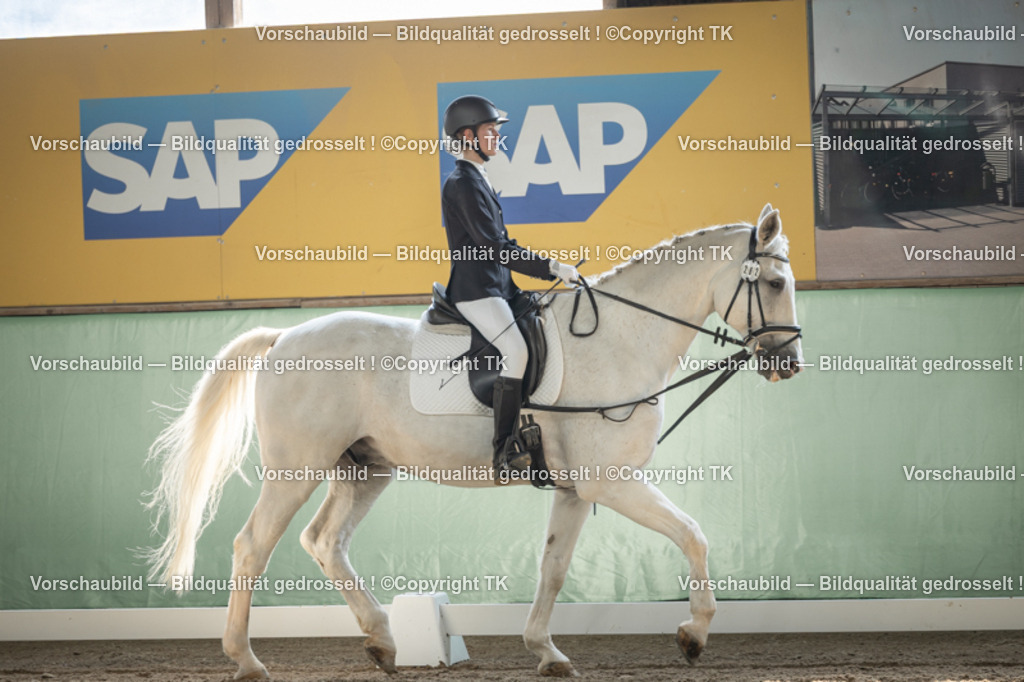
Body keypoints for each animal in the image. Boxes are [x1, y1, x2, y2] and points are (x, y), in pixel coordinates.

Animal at [144, 203, 803, 679]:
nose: (789, 363)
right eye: (773, 283)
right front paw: (694, 635)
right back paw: (247, 660)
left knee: (325, 541)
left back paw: (382, 640)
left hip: (364, 469)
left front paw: (546, 652)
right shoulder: (612, 482)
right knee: (252, 546)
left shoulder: (576, 489)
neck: (620, 338)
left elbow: (553, 568)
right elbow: (693, 534)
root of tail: (283, 337)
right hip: (296, 468)